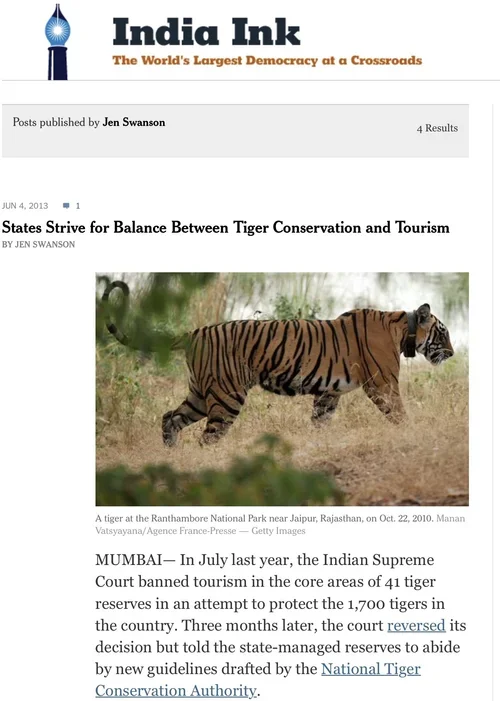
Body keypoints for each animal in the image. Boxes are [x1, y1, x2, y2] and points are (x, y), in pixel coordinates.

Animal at [102, 280, 454, 446]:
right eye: (444, 332)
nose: (452, 353)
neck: (403, 328)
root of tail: (195, 331)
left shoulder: (329, 393)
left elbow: (320, 420)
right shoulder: (383, 384)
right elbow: (399, 414)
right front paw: (413, 434)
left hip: (200, 393)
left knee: (170, 418)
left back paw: (172, 454)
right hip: (226, 396)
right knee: (208, 436)